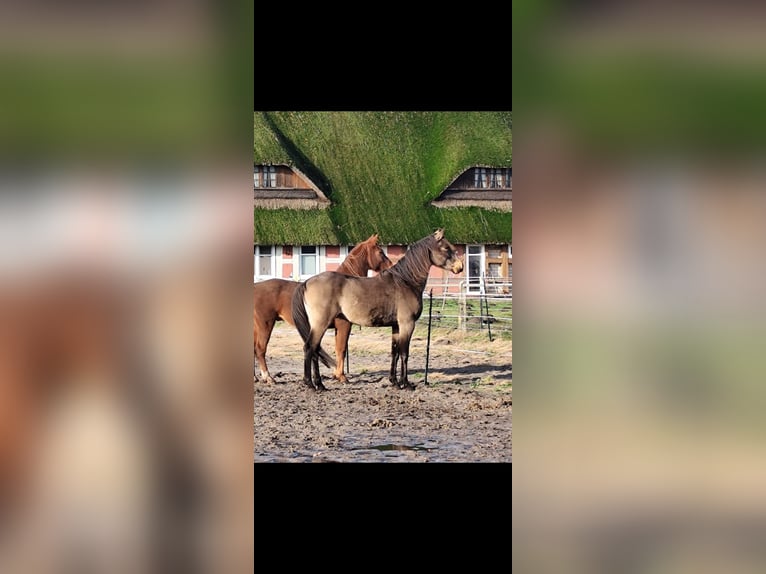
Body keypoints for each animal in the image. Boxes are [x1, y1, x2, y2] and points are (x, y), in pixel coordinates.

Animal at [255, 234, 392, 388]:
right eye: (380, 252)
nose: (391, 266)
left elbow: (338, 348)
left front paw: (337, 375)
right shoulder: (344, 325)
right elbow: (341, 349)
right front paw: (341, 376)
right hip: (265, 324)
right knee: (260, 349)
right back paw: (268, 377)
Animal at [292, 230, 462, 392]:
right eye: (446, 248)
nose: (460, 267)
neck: (406, 281)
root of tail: (307, 282)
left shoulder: (396, 326)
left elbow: (395, 353)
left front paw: (394, 382)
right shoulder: (407, 324)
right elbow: (404, 353)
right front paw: (406, 384)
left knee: (315, 350)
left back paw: (319, 384)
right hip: (320, 324)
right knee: (310, 348)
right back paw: (311, 384)